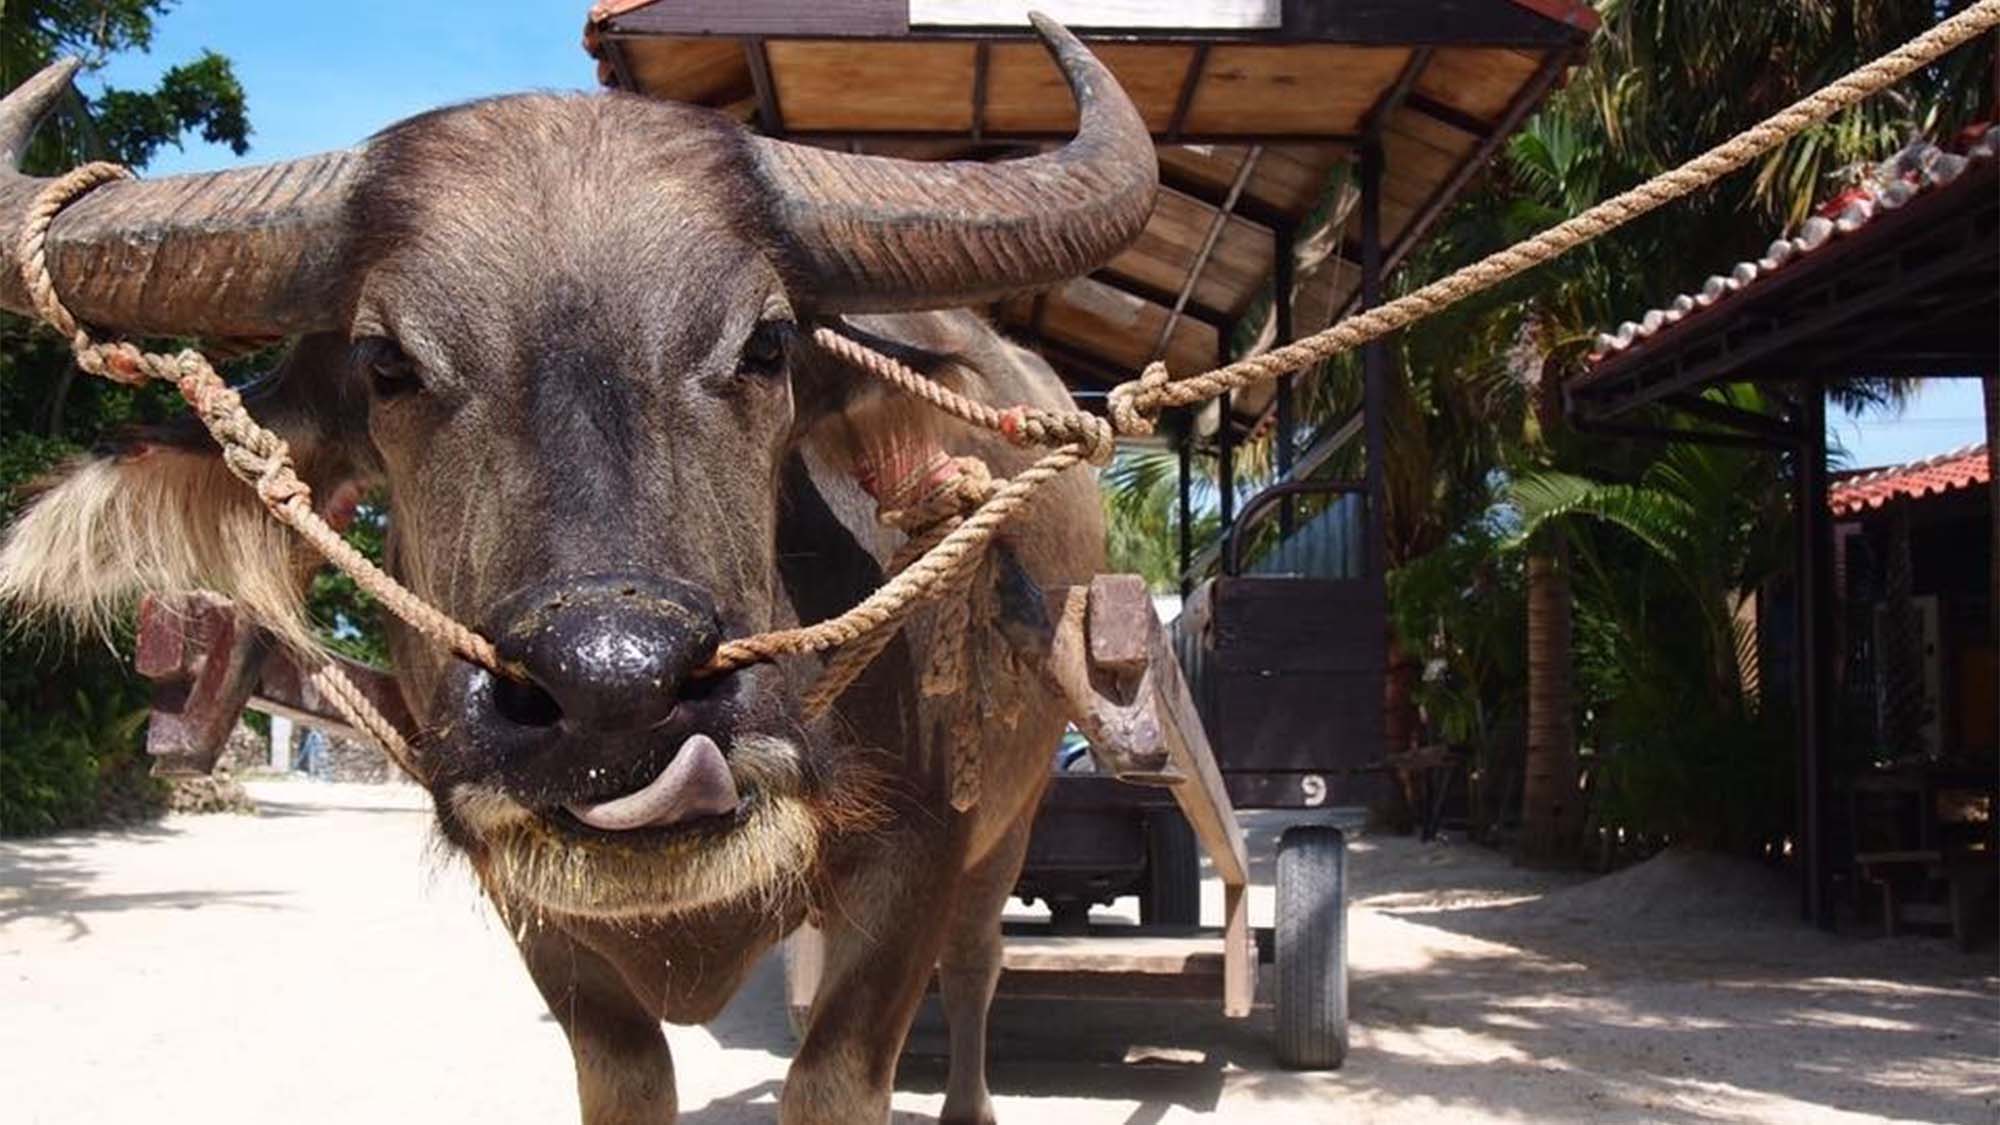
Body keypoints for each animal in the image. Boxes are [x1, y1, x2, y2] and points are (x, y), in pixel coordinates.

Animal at [0, 19, 1160, 1120]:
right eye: (386, 363)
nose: (616, 687)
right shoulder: (527, 892)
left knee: (976, 967)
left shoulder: (920, 857)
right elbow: (624, 1075)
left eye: (768, 344)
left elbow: (835, 1076)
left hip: (1009, 822)